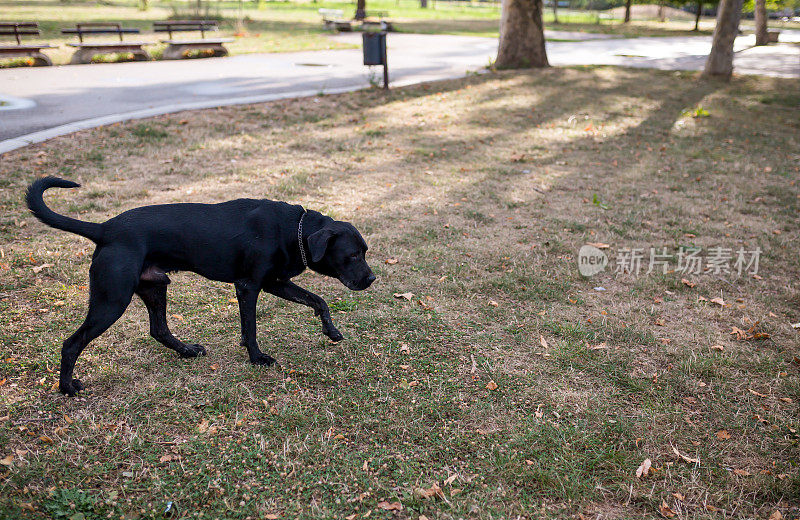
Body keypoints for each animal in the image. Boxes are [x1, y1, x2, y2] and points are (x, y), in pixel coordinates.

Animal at [25, 177, 376, 396]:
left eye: (365, 251)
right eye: (352, 255)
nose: (371, 279)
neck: (294, 230)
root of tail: (103, 229)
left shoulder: (276, 283)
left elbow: (318, 301)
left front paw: (331, 331)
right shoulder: (249, 286)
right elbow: (251, 327)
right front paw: (257, 357)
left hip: (154, 287)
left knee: (159, 330)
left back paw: (187, 351)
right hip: (112, 299)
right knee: (71, 344)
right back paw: (68, 388)